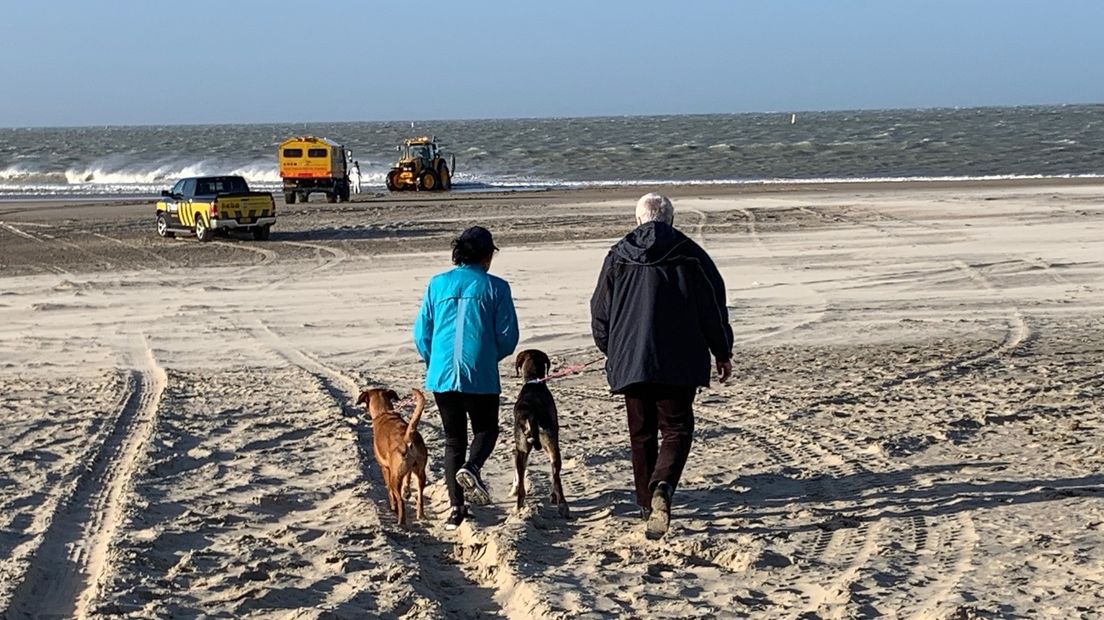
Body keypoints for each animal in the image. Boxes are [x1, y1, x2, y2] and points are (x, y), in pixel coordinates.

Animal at [357, 386, 426, 520]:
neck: (383, 412)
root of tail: (408, 437)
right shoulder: (409, 469)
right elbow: (408, 477)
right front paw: (407, 491)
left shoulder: (385, 468)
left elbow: (389, 489)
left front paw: (393, 506)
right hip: (421, 472)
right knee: (420, 495)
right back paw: (420, 514)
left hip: (395, 477)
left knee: (400, 500)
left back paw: (400, 519)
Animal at [512, 348, 574, 516]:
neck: (534, 380)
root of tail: (531, 411)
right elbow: (554, 475)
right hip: (552, 444)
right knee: (557, 478)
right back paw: (563, 505)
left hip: (521, 449)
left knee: (521, 482)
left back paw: (518, 508)